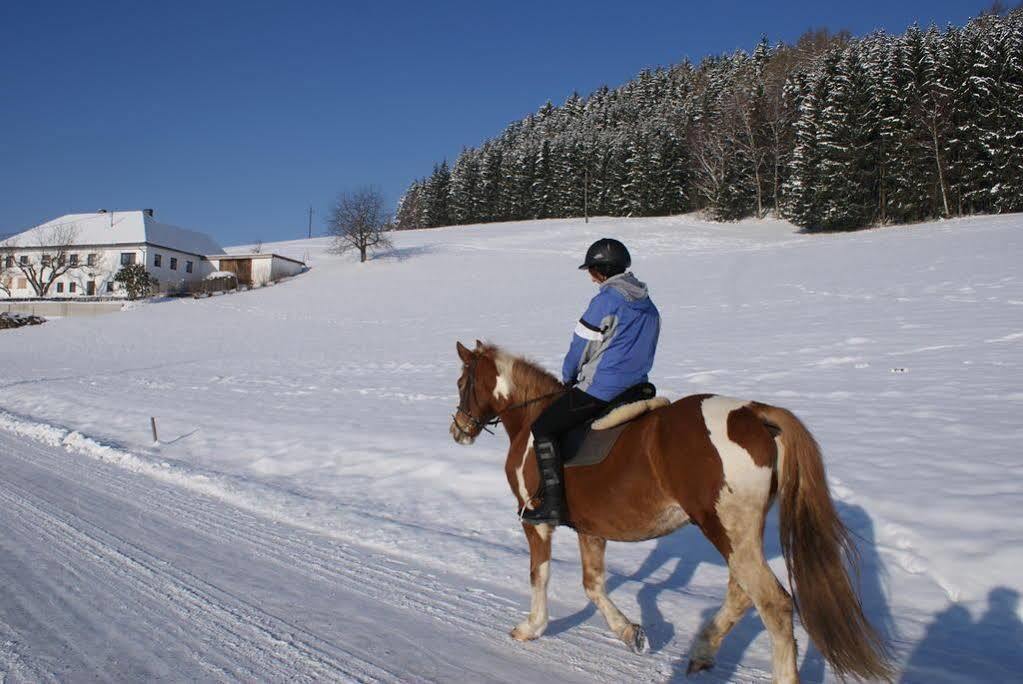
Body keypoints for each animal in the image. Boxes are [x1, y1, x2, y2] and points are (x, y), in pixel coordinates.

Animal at [452, 341, 892, 682]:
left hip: (723, 527)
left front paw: (532, 627)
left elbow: (539, 574)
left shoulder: (538, 523)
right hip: (737, 532)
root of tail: (752, 412)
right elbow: (593, 584)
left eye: (461, 382)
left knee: (774, 603)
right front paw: (630, 633)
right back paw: (700, 652)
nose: (458, 429)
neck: (530, 419)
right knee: (742, 592)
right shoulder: (590, 528)